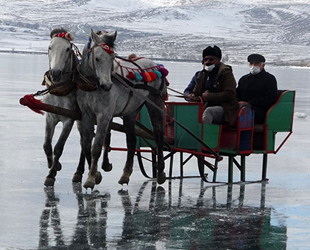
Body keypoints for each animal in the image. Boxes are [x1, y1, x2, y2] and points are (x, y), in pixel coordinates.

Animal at [77, 29, 167, 189]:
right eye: (97, 58)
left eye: (112, 57)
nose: (107, 86)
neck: (92, 85)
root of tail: (156, 65)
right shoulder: (86, 114)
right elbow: (86, 145)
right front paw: (95, 175)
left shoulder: (104, 115)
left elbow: (96, 146)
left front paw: (91, 178)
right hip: (131, 112)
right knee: (131, 141)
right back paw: (125, 175)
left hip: (156, 104)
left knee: (158, 135)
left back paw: (161, 173)